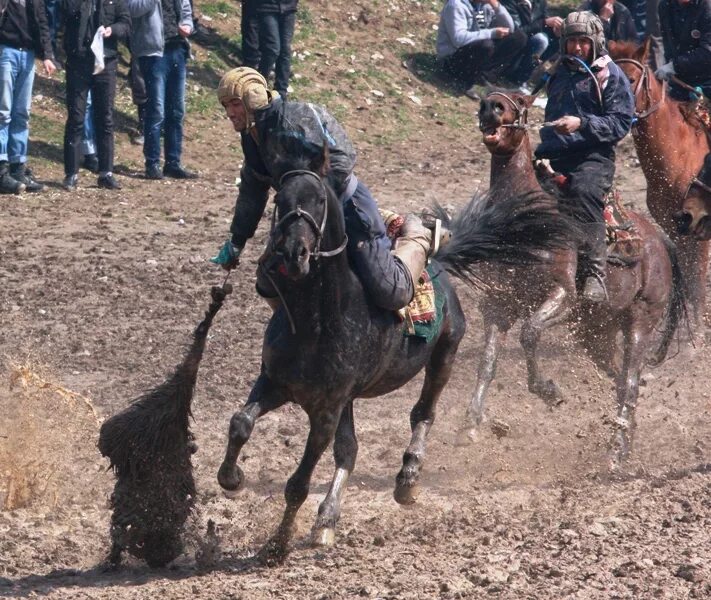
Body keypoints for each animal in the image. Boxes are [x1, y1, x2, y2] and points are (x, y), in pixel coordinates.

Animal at [217, 149, 580, 564]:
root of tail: (438, 263)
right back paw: (327, 520)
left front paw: (276, 546)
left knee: (422, 414)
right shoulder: (276, 383)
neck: (316, 322)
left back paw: (408, 478)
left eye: (320, 200)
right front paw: (231, 478)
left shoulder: (326, 410)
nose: (294, 254)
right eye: (280, 200)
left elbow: (298, 484)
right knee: (349, 450)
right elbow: (241, 422)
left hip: (444, 355)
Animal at [470, 91, 688, 468]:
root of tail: (660, 240)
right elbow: (487, 363)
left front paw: (548, 390)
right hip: (595, 334)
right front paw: (470, 426)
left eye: (520, 100)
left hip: (640, 322)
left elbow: (530, 334)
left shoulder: (562, 295)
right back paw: (625, 443)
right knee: (620, 380)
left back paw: (616, 455)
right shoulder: (499, 305)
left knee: (631, 381)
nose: (491, 106)